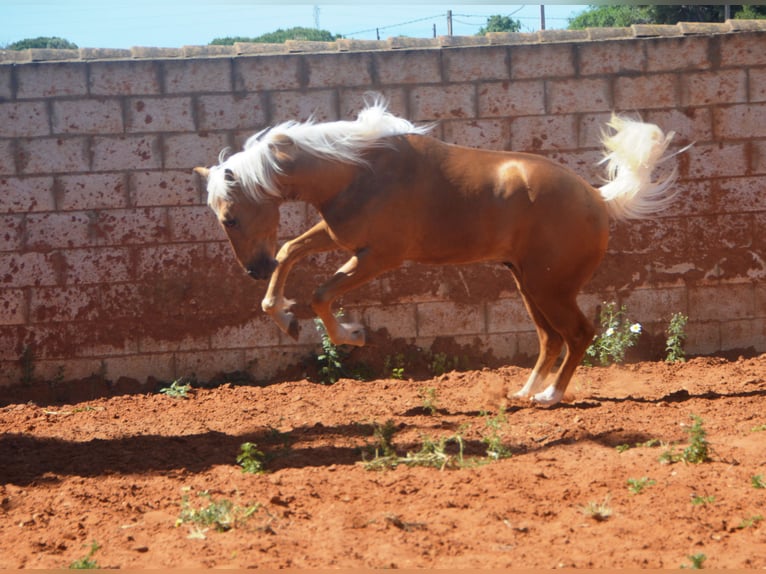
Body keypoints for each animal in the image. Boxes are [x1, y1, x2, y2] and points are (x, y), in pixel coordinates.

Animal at [194, 96, 681, 406]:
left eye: (229, 217)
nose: (254, 270)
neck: (357, 169)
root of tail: (599, 199)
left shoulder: (379, 256)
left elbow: (320, 293)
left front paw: (351, 334)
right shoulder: (338, 236)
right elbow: (291, 253)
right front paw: (284, 316)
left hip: (551, 289)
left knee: (578, 335)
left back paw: (550, 396)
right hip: (529, 285)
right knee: (551, 339)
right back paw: (524, 393)